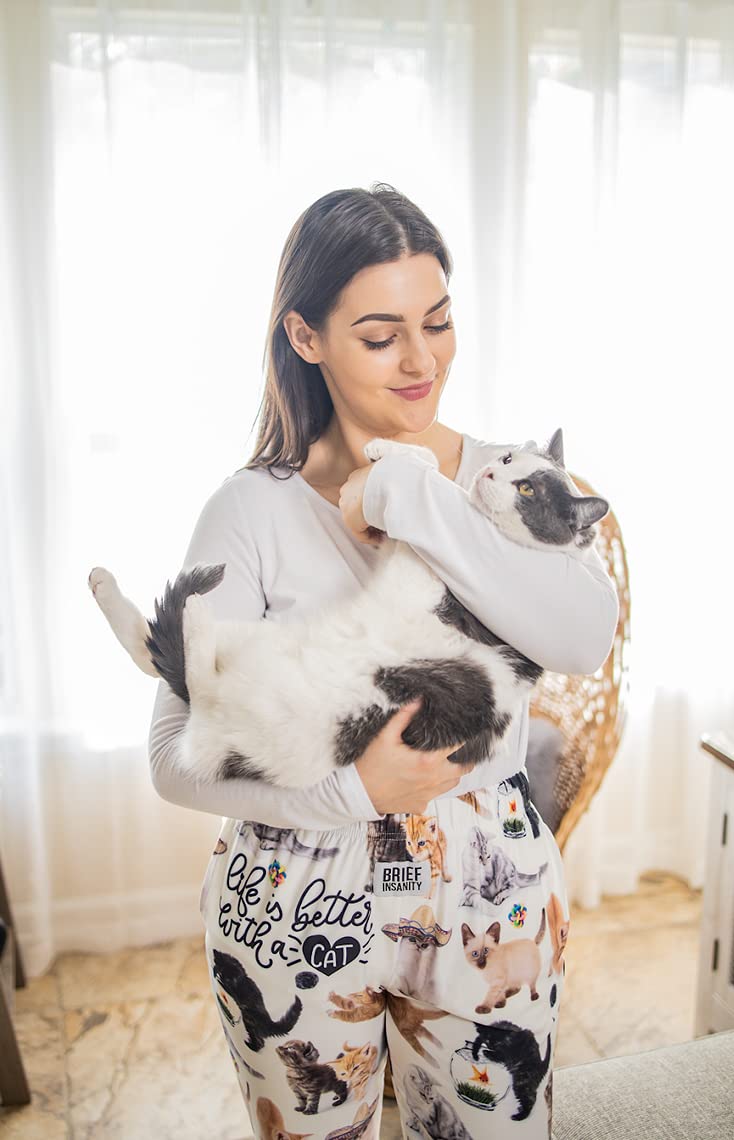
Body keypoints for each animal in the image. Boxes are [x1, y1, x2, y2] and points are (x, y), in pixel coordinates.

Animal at [88, 424, 610, 788]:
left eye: (528, 490)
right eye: (505, 457)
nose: (488, 472)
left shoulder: (424, 572)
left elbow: (428, 479)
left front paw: (387, 456)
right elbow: (429, 475)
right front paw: (390, 456)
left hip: (283, 725)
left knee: (188, 672)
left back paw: (193, 614)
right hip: (252, 638)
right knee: (154, 652)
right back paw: (105, 585)